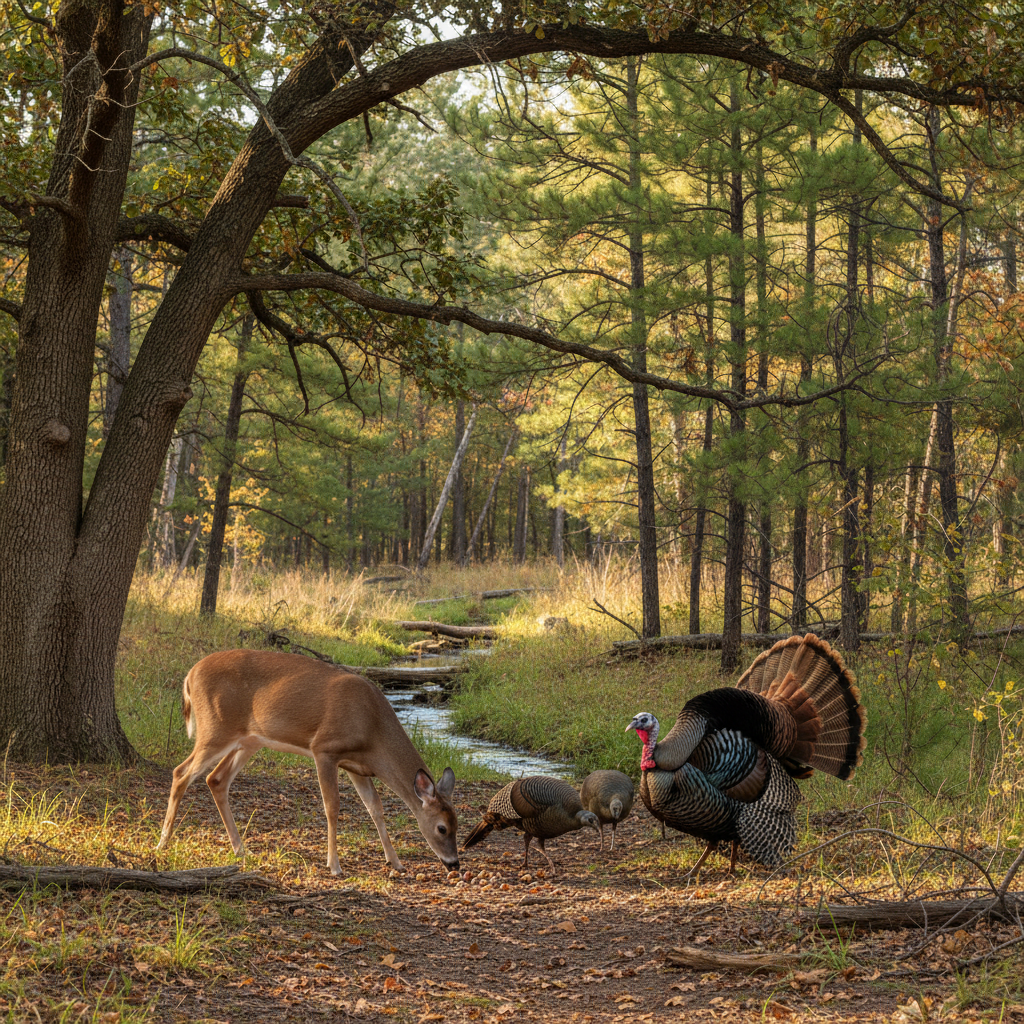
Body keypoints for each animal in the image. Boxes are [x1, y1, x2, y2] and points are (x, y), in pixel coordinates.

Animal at [156, 649, 460, 875]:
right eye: (441, 828)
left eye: (458, 824)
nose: (454, 864)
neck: (373, 729)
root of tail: (190, 675)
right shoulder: (324, 749)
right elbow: (332, 807)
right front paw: (334, 865)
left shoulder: (359, 767)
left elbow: (375, 808)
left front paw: (395, 861)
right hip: (215, 728)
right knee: (181, 772)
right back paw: (163, 842)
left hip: (249, 740)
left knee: (216, 779)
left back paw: (240, 849)